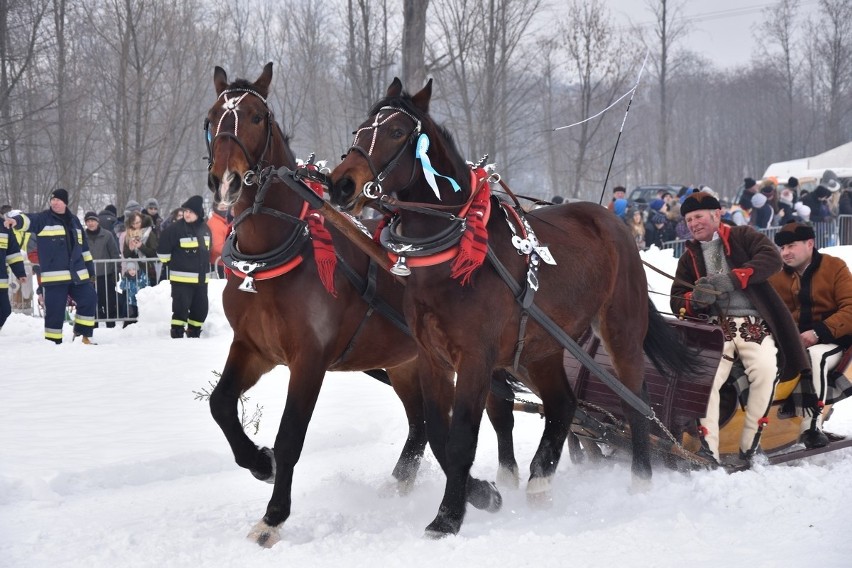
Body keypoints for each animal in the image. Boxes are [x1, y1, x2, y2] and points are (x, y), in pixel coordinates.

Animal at [206, 64, 512, 548]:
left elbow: (291, 436)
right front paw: (259, 462)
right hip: (406, 362)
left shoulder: (308, 360)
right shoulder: (253, 349)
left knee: (497, 415)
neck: (272, 254)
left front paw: (273, 517)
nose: (226, 181)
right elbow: (220, 405)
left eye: (256, 116)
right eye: (212, 117)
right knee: (421, 427)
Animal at [328, 80, 700, 536]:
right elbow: (437, 432)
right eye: (361, 130)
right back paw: (540, 479)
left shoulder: (475, 358)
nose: (341, 185)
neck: (452, 256)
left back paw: (641, 479)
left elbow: (460, 438)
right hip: (542, 347)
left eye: (397, 132)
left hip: (621, 329)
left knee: (635, 399)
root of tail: (613, 222)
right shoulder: (433, 356)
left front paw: (448, 516)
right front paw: (483, 494)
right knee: (563, 403)